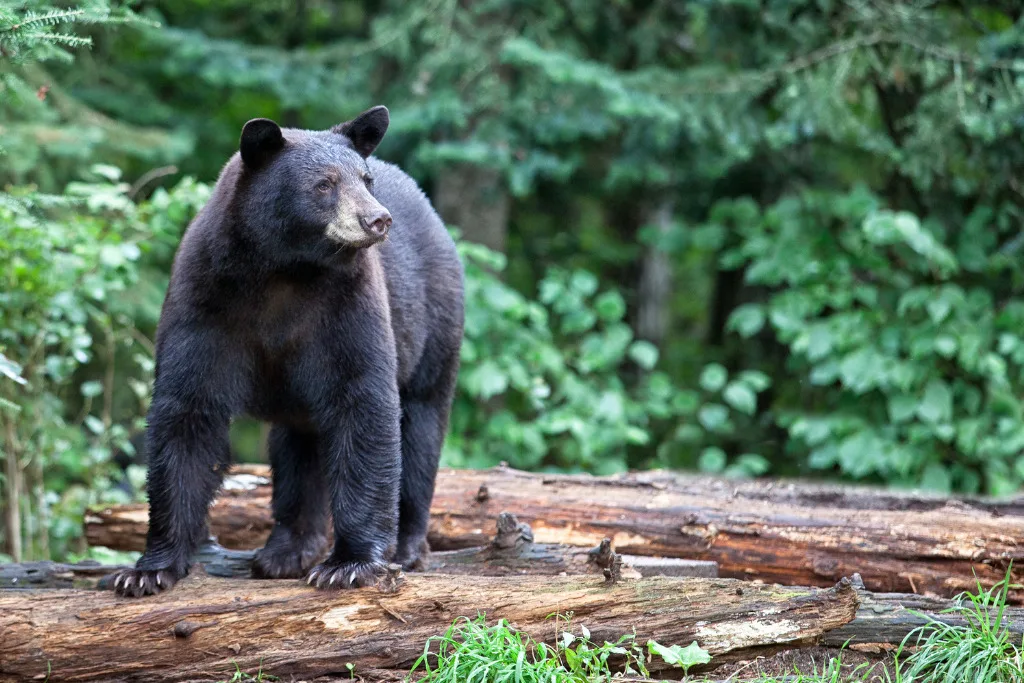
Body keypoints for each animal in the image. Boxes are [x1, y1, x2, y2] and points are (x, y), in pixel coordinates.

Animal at [112, 104, 464, 593]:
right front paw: (148, 569)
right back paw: (286, 550)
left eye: (365, 178)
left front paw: (350, 564)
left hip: (434, 324)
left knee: (421, 426)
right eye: (324, 184)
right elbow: (187, 411)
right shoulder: (205, 300)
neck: (285, 270)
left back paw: (407, 547)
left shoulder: (347, 305)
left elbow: (364, 402)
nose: (378, 219)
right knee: (298, 449)